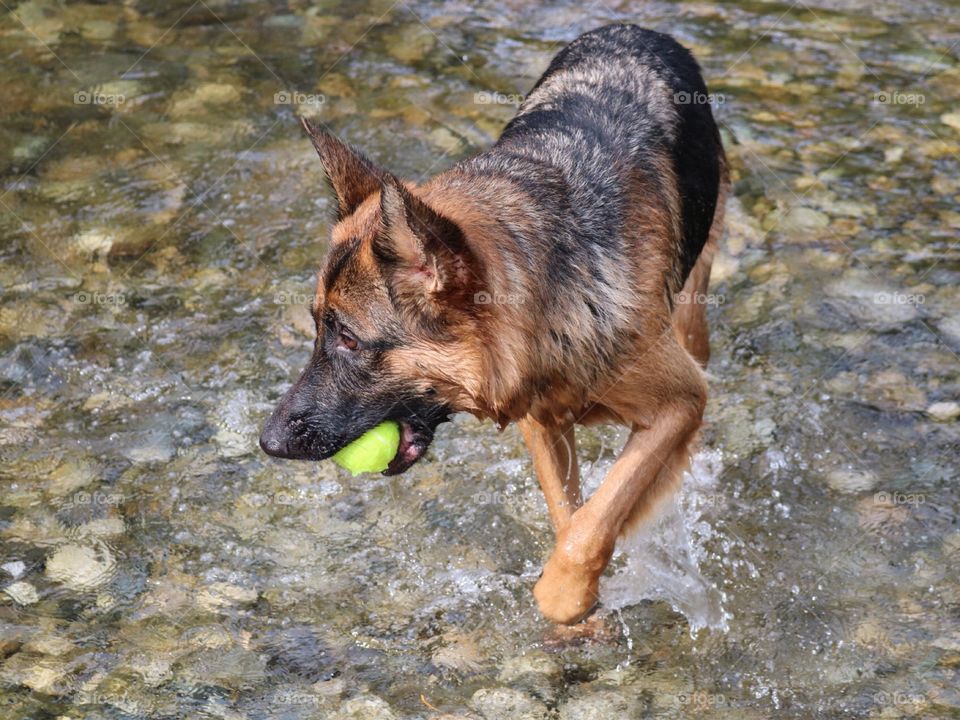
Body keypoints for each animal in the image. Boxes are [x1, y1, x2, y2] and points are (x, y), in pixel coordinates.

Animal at [258, 25, 724, 624]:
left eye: (348, 339)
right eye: (316, 326)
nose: (266, 441)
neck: (550, 295)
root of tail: (634, 30)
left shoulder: (679, 401)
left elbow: (593, 522)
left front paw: (564, 596)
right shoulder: (543, 420)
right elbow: (568, 514)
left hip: (693, 307)